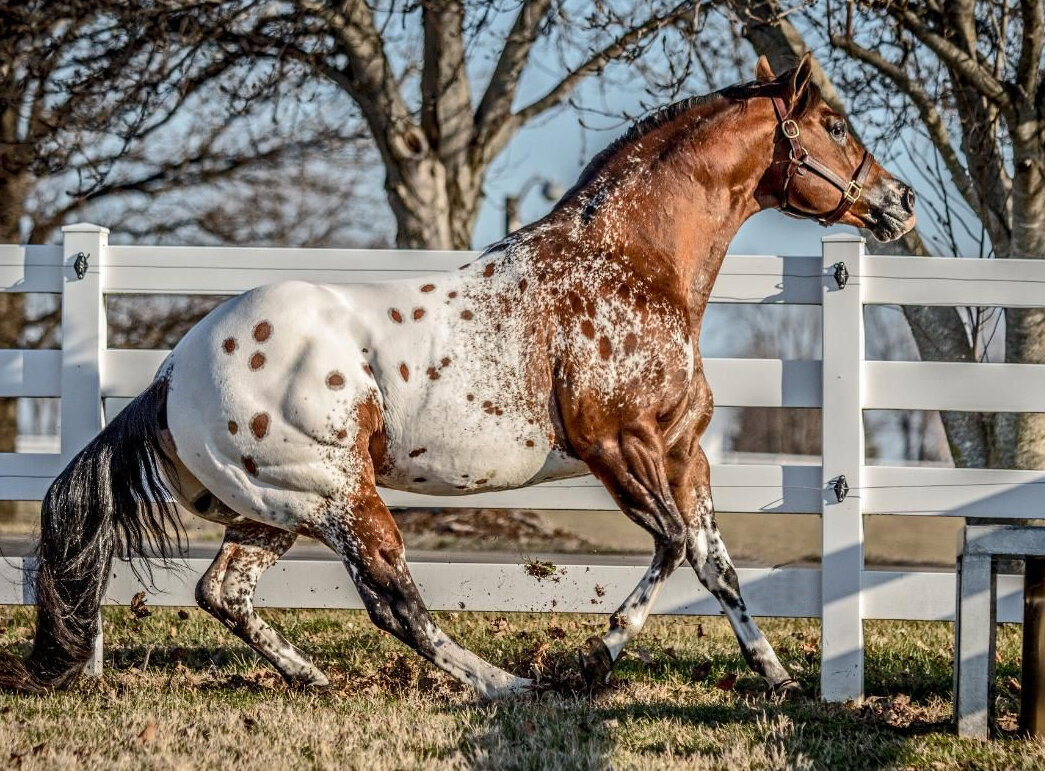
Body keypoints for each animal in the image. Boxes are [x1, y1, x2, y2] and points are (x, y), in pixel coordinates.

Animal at [2, 56, 915, 697]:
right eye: (834, 122)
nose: (900, 202)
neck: (631, 266)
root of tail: (171, 370)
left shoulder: (683, 452)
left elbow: (713, 562)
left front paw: (778, 677)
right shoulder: (616, 445)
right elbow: (672, 545)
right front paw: (590, 661)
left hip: (272, 508)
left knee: (222, 591)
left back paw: (310, 675)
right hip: (338, 495)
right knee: (392, 602)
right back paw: (502, 683)